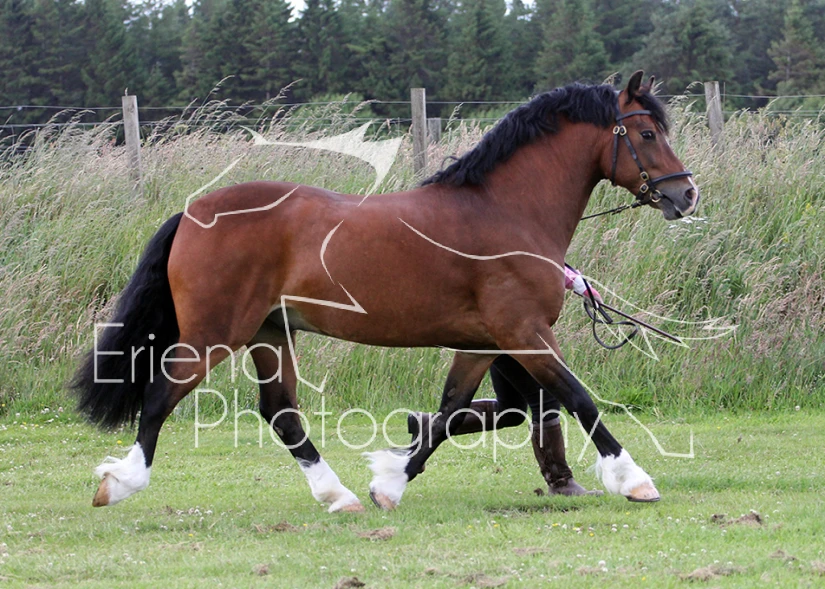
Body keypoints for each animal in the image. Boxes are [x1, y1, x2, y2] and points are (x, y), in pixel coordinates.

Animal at [72, 71, 699, 512]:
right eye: (647, 133)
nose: (686, 194)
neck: (505, 211)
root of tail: (193, 212)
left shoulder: (482, 342)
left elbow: (451, 411)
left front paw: (391, 482)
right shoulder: (523, 332)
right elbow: (579, 398)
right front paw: (635, 480)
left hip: (269, 331)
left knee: (281, 414)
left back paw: (339, 496)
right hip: (215, 332)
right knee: (162, 397)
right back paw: (120, 482)